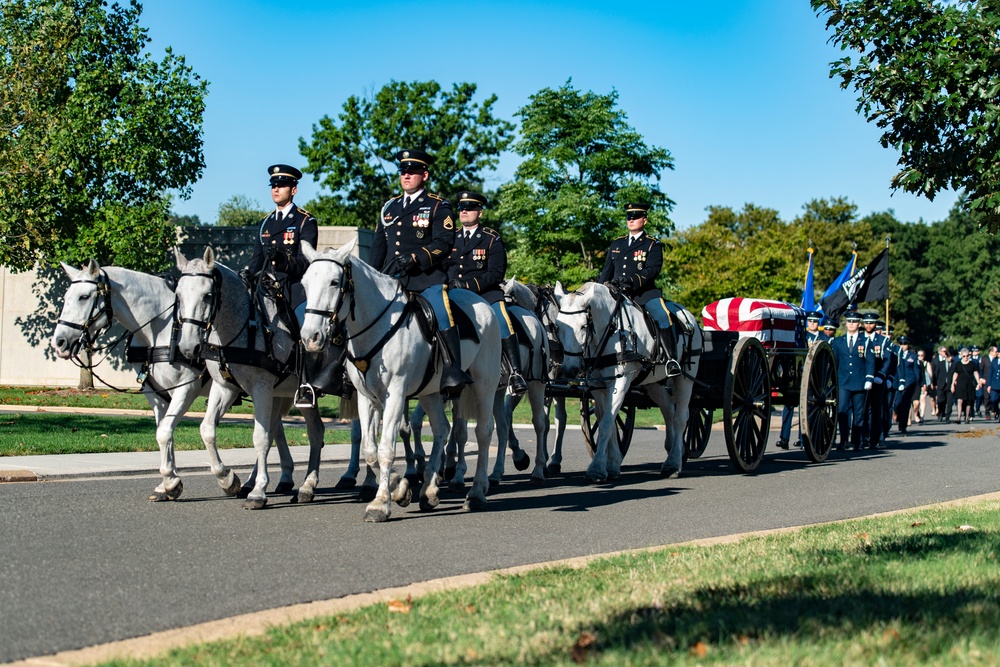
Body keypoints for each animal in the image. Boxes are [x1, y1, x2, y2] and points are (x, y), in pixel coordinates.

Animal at [50, 260, 292, 500]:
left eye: (84, 297)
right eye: (66, 296)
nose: (59, 342)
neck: (159, 329)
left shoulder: (186, 388)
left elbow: (165, 431)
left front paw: (175, 480)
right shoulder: (155, 393)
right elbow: (163, 432)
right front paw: (168, 483)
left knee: (271, 430)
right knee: (276, 429)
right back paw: (279, 479)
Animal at [174, 248, 326, 508]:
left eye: (207, 296)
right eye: (179, 295)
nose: (187, 347)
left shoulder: (261, 387)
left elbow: (260, 437)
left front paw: (258, 493)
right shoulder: (225, 387)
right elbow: (207, 429)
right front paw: (228, 479)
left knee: (316, 432)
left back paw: (308, 485)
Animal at [296, 240, 500, 520]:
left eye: (335, 282)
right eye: (305, 283)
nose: (310, 338)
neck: (376, 326)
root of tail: (483, 304)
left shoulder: (395, 393)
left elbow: (386, 449)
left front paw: (380, 503)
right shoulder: (366, 396)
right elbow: (370, 449)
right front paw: (399, 487)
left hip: (484, 384)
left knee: (483, 431)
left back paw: (477, 492)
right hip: (431, 392)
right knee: (441, 429)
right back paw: (429, 491)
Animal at [548, 284, 704, 482]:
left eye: (583, 326)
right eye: (558, 327)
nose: (569, 369)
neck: (611, 330)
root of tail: (689, 317)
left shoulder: (620, 382)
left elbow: (607, 423)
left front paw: (597, 468)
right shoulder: (598, 386)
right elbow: (608, 420)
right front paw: (612, 464)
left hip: (684, 378)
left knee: (681, 416)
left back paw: (674, 463)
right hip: (652, 383)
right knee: (669, 408)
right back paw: (673, 449)